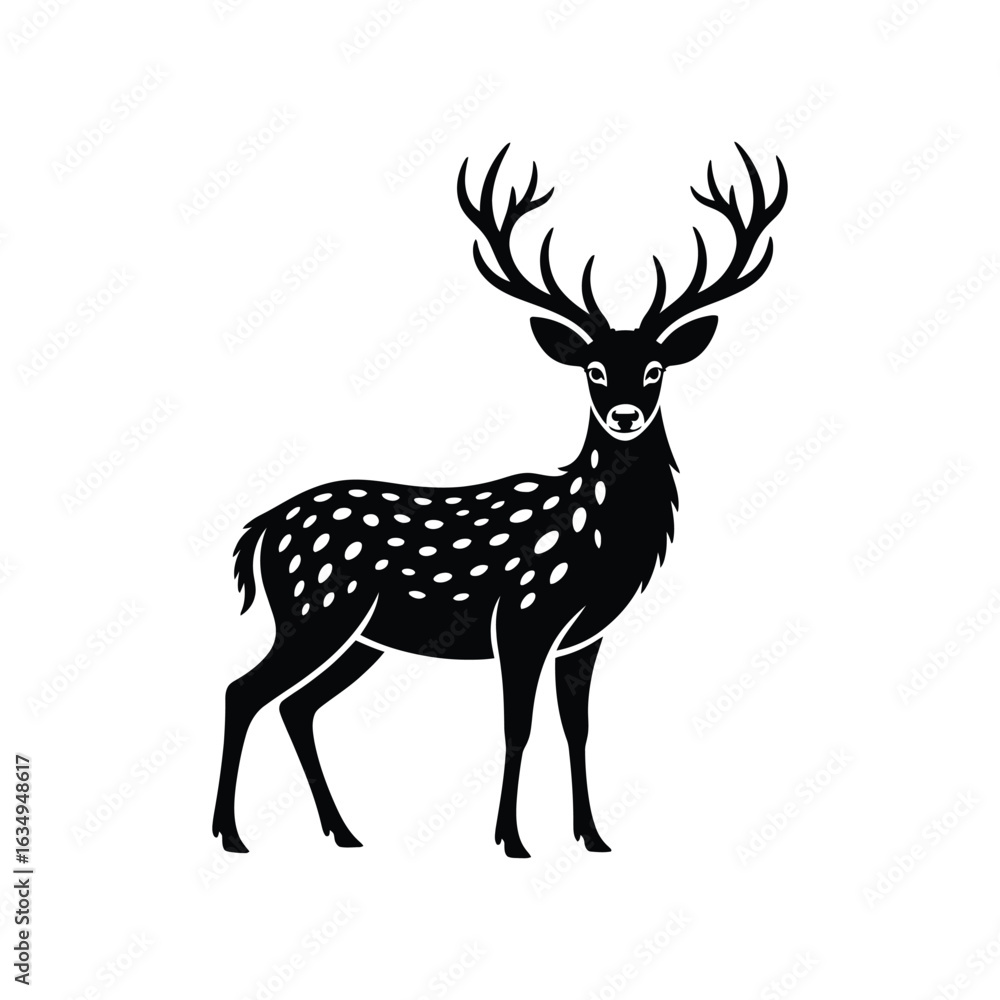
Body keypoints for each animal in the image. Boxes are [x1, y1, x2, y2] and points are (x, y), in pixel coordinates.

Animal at [212, 143, 787, 857]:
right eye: (594, 369)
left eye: (655, 368)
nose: (625, 415)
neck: (602, 546)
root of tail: (262, 527)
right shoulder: (522, 616)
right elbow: (518, 726)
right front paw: (511, 840)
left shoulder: (584, 638)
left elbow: (578, 728)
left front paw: (592, 836)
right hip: (314, 607)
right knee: (243, 692)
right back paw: (231, 834)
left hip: (362, 635)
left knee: (296, 705)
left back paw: (343, 832)